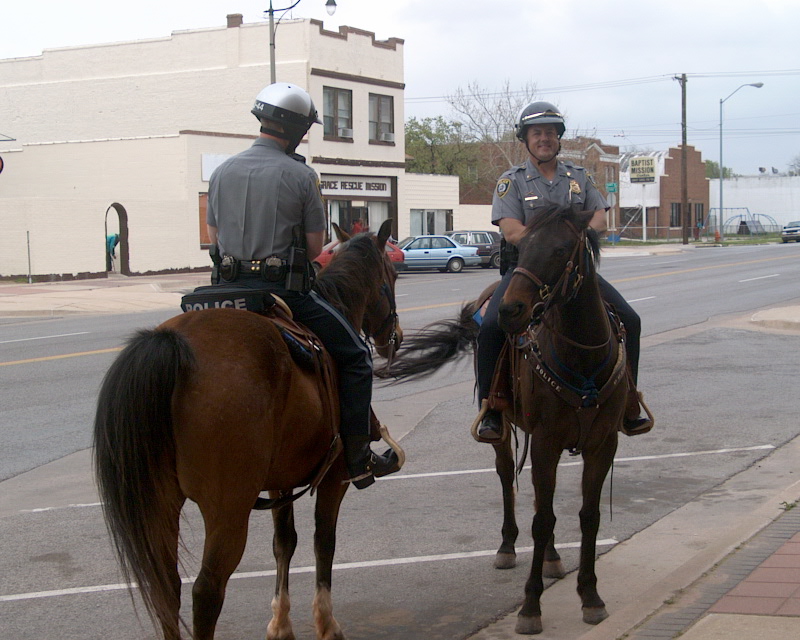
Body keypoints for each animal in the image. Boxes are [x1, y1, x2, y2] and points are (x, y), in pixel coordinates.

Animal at [94, 218, 404, 636]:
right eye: (393, 275)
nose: (395, 339)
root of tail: (173, 344)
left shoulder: (280, 479)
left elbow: (284, 542)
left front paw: (281, 623)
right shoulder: (334, 475)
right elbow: (324, 540)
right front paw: (325, 622)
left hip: (161, 502)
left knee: (167, 587)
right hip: (228, 507)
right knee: (207, 590)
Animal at [382, 209, 624, 636]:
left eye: (561, 249)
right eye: (522, 246)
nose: (512, 310)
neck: (582, 361)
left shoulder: (602, 444)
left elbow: (588, 517)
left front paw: (590, 596)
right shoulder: (545, 442)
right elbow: (541, 520)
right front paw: (530, 606)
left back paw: (552, 558)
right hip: (503, 429)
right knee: (506, 476)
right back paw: (509, 546)